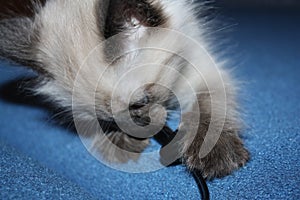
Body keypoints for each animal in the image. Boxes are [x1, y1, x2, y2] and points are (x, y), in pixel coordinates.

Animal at [0, 0, 248, 178]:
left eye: (139, 104)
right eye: (107, 120)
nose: (137, 128)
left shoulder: (202, 67)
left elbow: (208, 108)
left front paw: (214, 153)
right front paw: (119, 145)